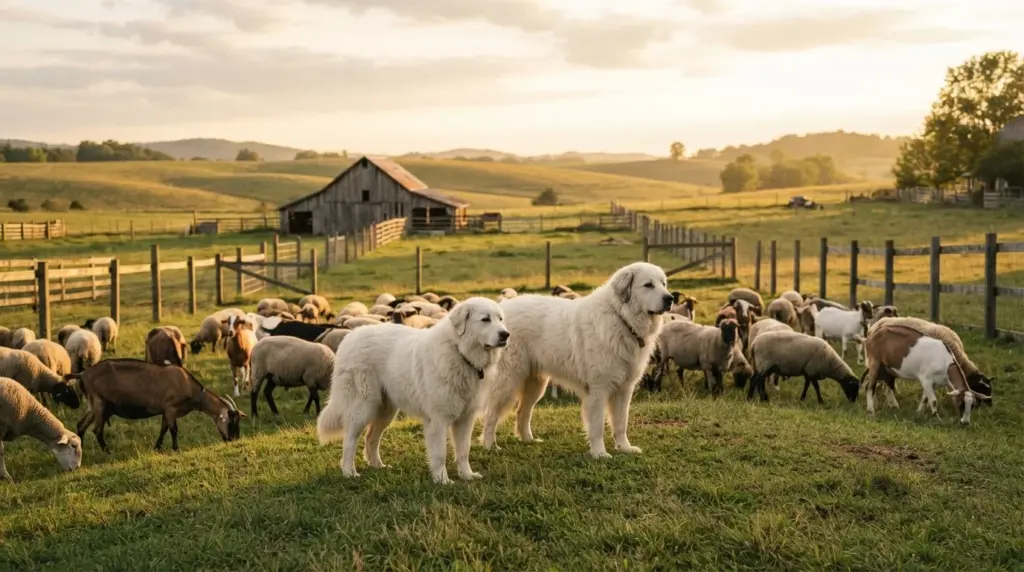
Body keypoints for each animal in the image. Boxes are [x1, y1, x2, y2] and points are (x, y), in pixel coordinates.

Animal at [74, 359, 243, 452]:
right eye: (231, 422)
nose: (234, 439)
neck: (188, 385)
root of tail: (83, 374)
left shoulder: (165, 411)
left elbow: (164, 428)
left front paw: (157, 447)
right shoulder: (171, 408)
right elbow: (173, 429)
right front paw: (176, 449)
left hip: (93, 405)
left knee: (81, 425)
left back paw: (81, 448)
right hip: (100, 403)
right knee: (97, 430)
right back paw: (107, 451)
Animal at [862, 322, 991, 424]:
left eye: (972, 405)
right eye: (961, 404)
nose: (965, 423)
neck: (946, 363)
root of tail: (871, 335)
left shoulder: (933, 383)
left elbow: (925, 398)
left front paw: (918, 413)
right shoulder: (926, 379)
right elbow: (933, 401)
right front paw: (936, 417)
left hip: (886, 368)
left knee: (886, 385)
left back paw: (892, 406)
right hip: (875, 362)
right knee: (869, 387)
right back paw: (871, 411)